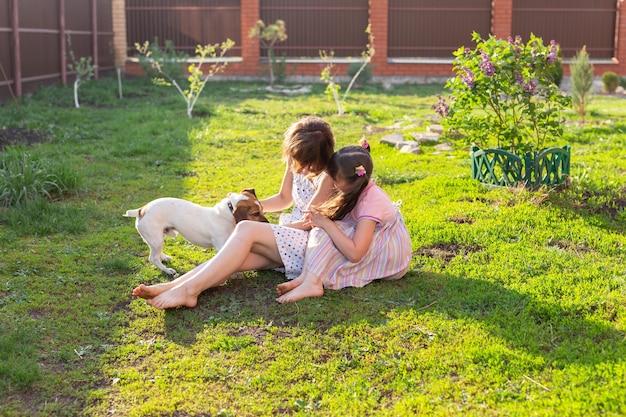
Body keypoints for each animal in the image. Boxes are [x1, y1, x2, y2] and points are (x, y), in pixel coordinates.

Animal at [123, 188, 266, 272]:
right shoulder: (221, 246)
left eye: (262, 209)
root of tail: (141, 210)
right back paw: (167, 270)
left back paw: (164, 257)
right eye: (255, 213)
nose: (267, 223)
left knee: (155, 253)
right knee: (153, 258)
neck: (228, 214)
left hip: (157, 238)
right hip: (156, 239)